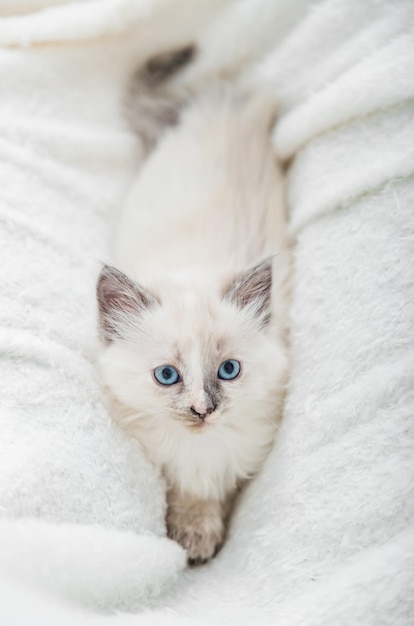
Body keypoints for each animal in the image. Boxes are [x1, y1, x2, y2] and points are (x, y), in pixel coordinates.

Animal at [96, 47, 290, 560]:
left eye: (229, 370)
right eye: (167, 376)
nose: (203, 410)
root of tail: (214, 107)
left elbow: (215, 494)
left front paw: (201, 537)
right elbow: (182, 491)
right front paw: (190, 534)